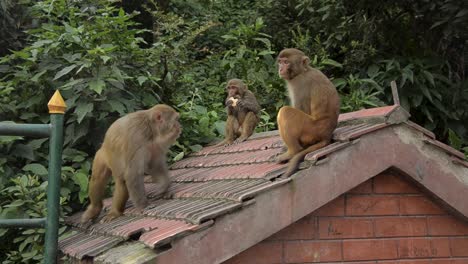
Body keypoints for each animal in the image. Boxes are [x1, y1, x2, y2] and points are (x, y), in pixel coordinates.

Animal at [276, 48, 338, 178]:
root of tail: (326, 135)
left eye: (286, 62)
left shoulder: (300, 84)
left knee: (285, 111)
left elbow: (301, 109)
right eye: (280, 62)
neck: (303, 71)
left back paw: (293, 152)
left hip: (310, 129)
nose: (280, 68)